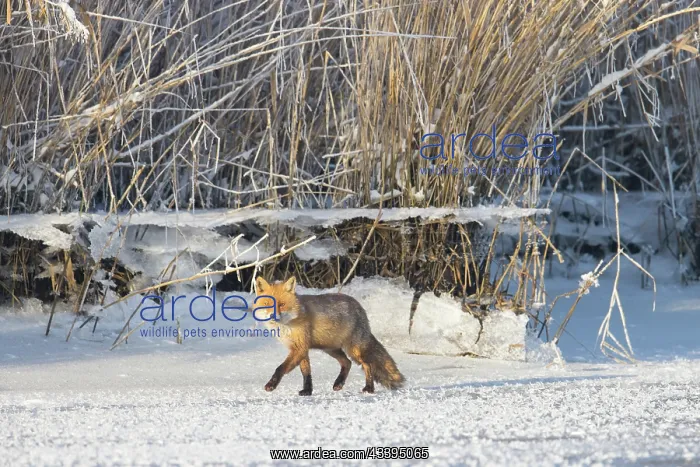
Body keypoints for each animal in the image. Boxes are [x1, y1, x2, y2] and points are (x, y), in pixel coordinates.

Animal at [254, 276, 405, 396]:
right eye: (267, 304)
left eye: (282, 304)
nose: (273, 316)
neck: (288, 325)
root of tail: (360, 307)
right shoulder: (301, 349)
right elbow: (306, 371)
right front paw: (307, 391)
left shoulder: (299, 347)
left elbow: (280, 368)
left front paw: (271, 385)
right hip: (331, 349)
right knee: (347, 363)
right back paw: (339, 383)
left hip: (354, 350)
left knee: (368, 365)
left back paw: (369, 388)